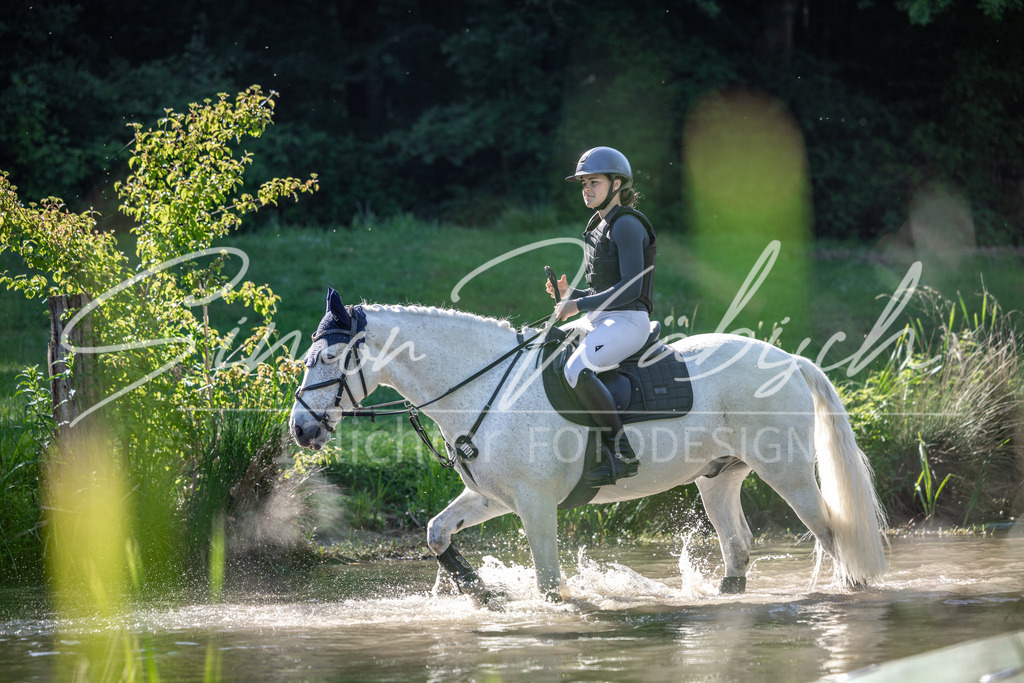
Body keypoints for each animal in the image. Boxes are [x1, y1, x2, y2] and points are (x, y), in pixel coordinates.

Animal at [289, 289, 887, 602]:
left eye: (327, 358)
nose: (301, 430)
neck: (488, 385)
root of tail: (789, 359)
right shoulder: (494, 498)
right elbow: (437, 532)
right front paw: (480, 590)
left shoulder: (534, 504)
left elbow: (550, 584)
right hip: (718, 478)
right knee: (737, 546)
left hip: (787, 474)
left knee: (833, 533)